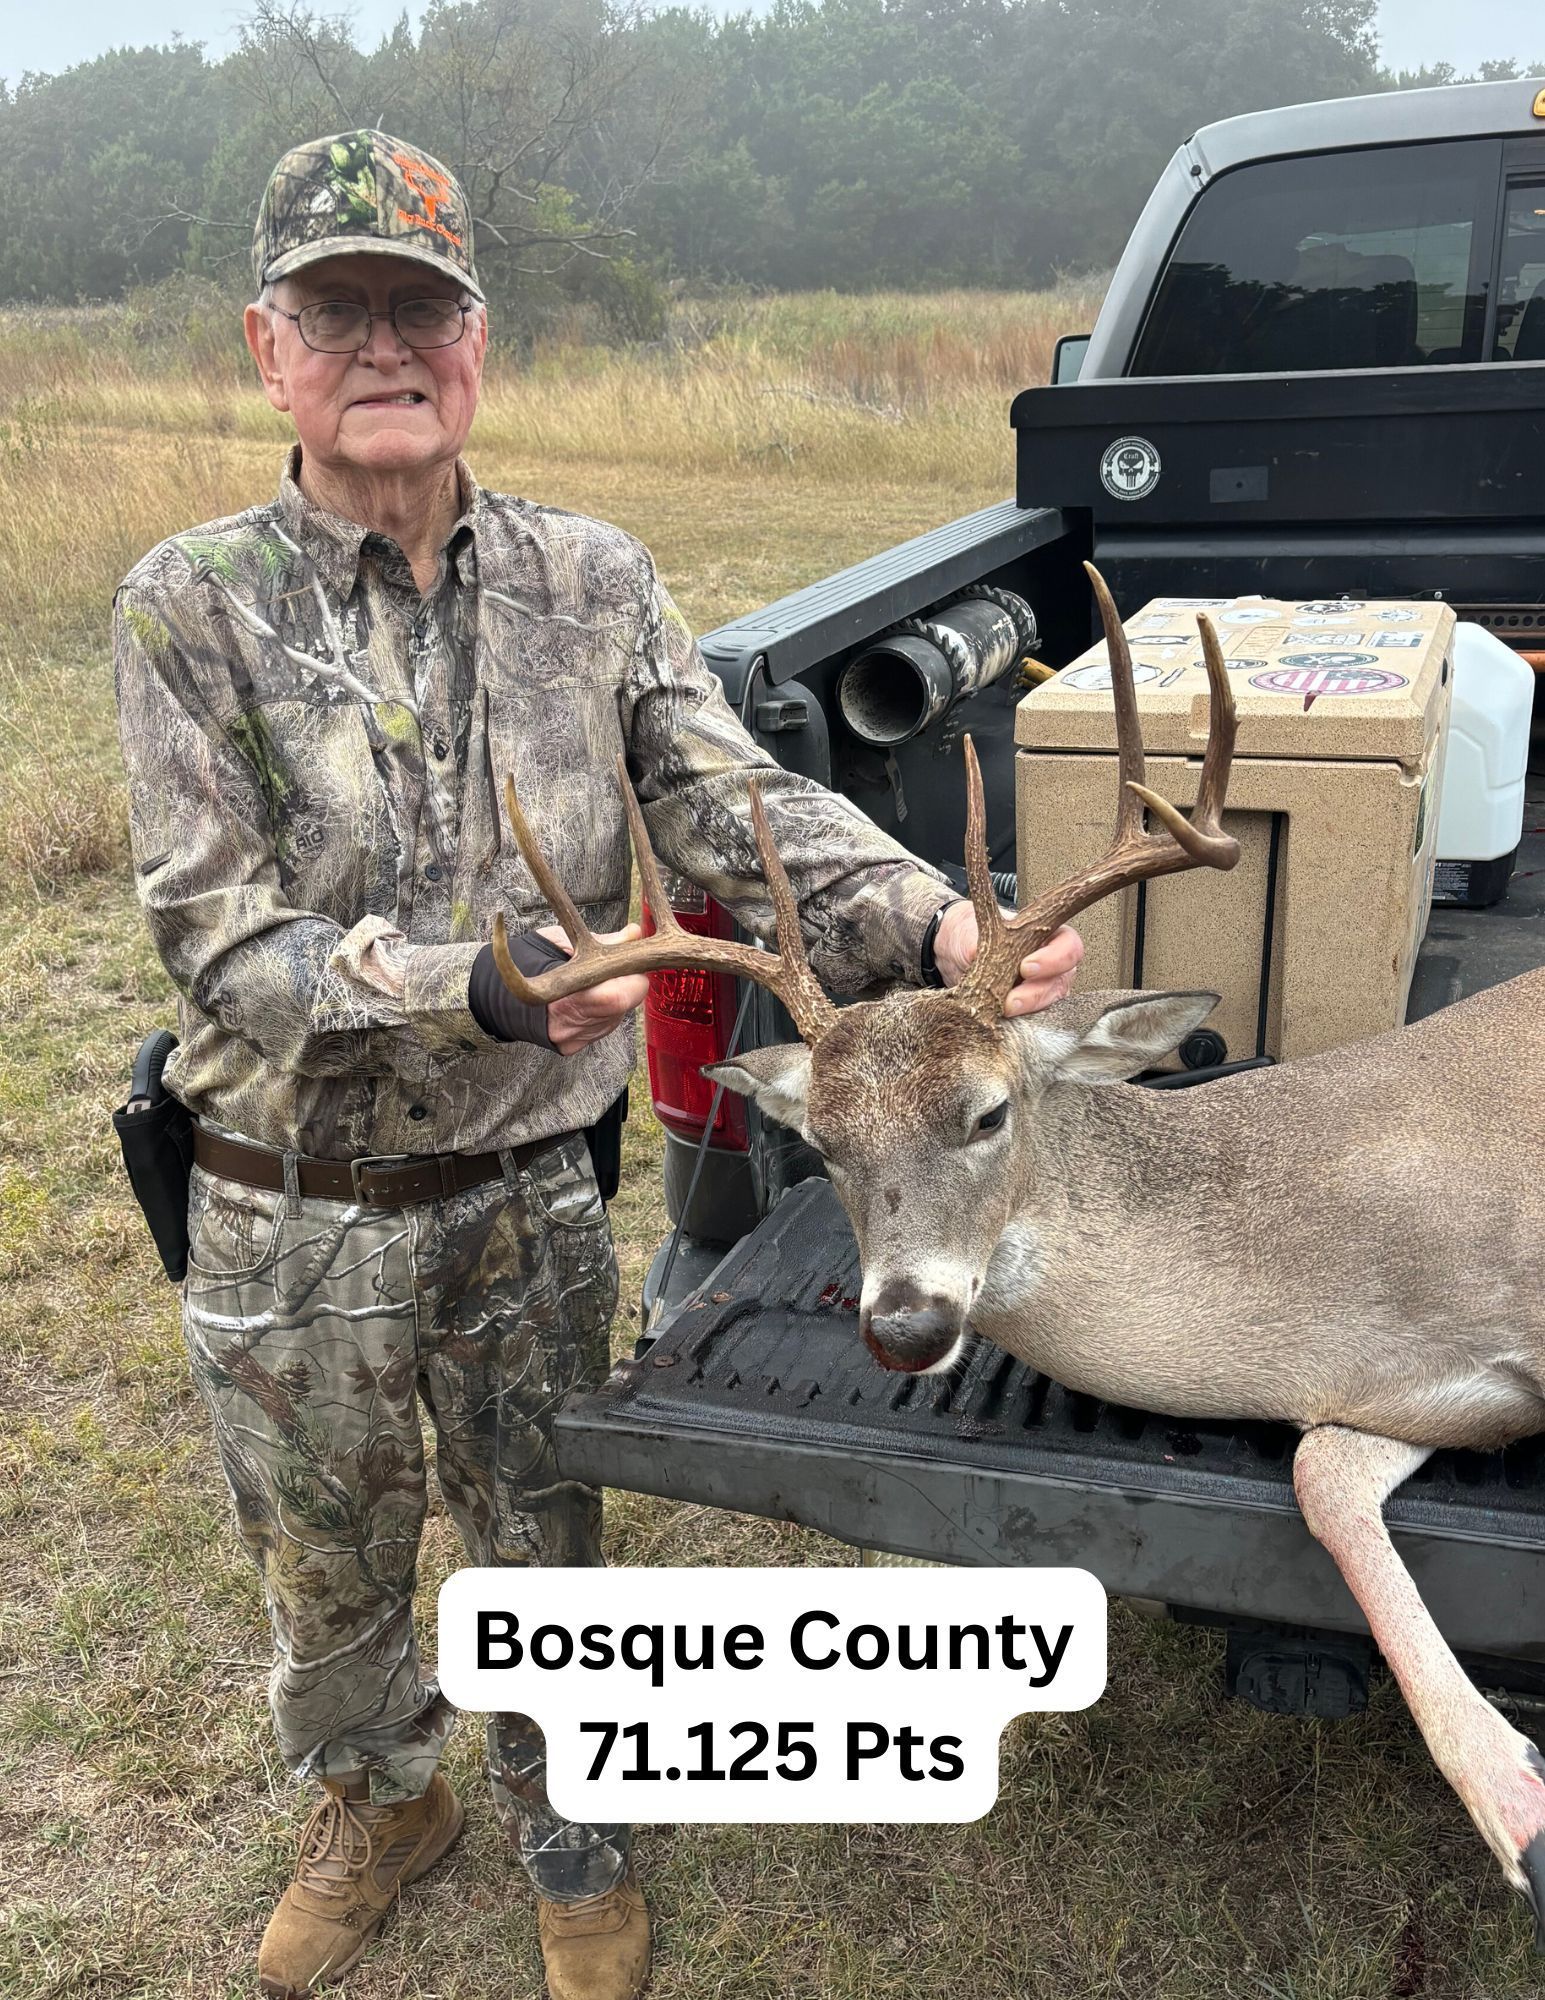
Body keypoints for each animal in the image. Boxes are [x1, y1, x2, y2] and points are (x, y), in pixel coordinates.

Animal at [488, 563, 1545, 1943]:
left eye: (989, 1112)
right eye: (824, 1142)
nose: (905, 1322)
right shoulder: (1399, 1394)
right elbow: (1321, 1478)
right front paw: (1516, 1797)